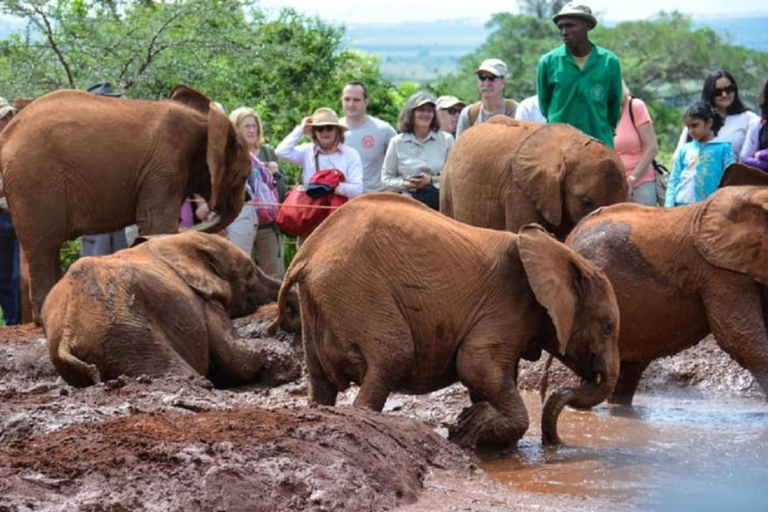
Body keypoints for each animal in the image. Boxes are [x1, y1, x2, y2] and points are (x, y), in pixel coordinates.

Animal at [0, 84, 250, 324]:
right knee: (42, 245)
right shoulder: (165, 165)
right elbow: (157, 224)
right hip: (34, 181)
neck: (207, 120)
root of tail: (7, 133)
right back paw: (43, 318)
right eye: (244, 176)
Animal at [40, 232, 300, 388]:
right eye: (249, 273)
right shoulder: (204, 301)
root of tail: (68, 332)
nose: (275, 325)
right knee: (175, 371)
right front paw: (287, 368)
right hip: (127, 334)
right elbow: (235, 356)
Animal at [270, 195, 624, 448]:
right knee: (393, 356)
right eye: (608, 327)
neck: (564, 254)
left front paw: (479, 433)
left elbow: (488, 375)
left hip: (321, 302)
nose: (556, 443)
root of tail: (306, 254)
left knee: (322, 383)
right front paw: (469, 429)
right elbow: (474, 365)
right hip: (356, 289)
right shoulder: (509, 306)